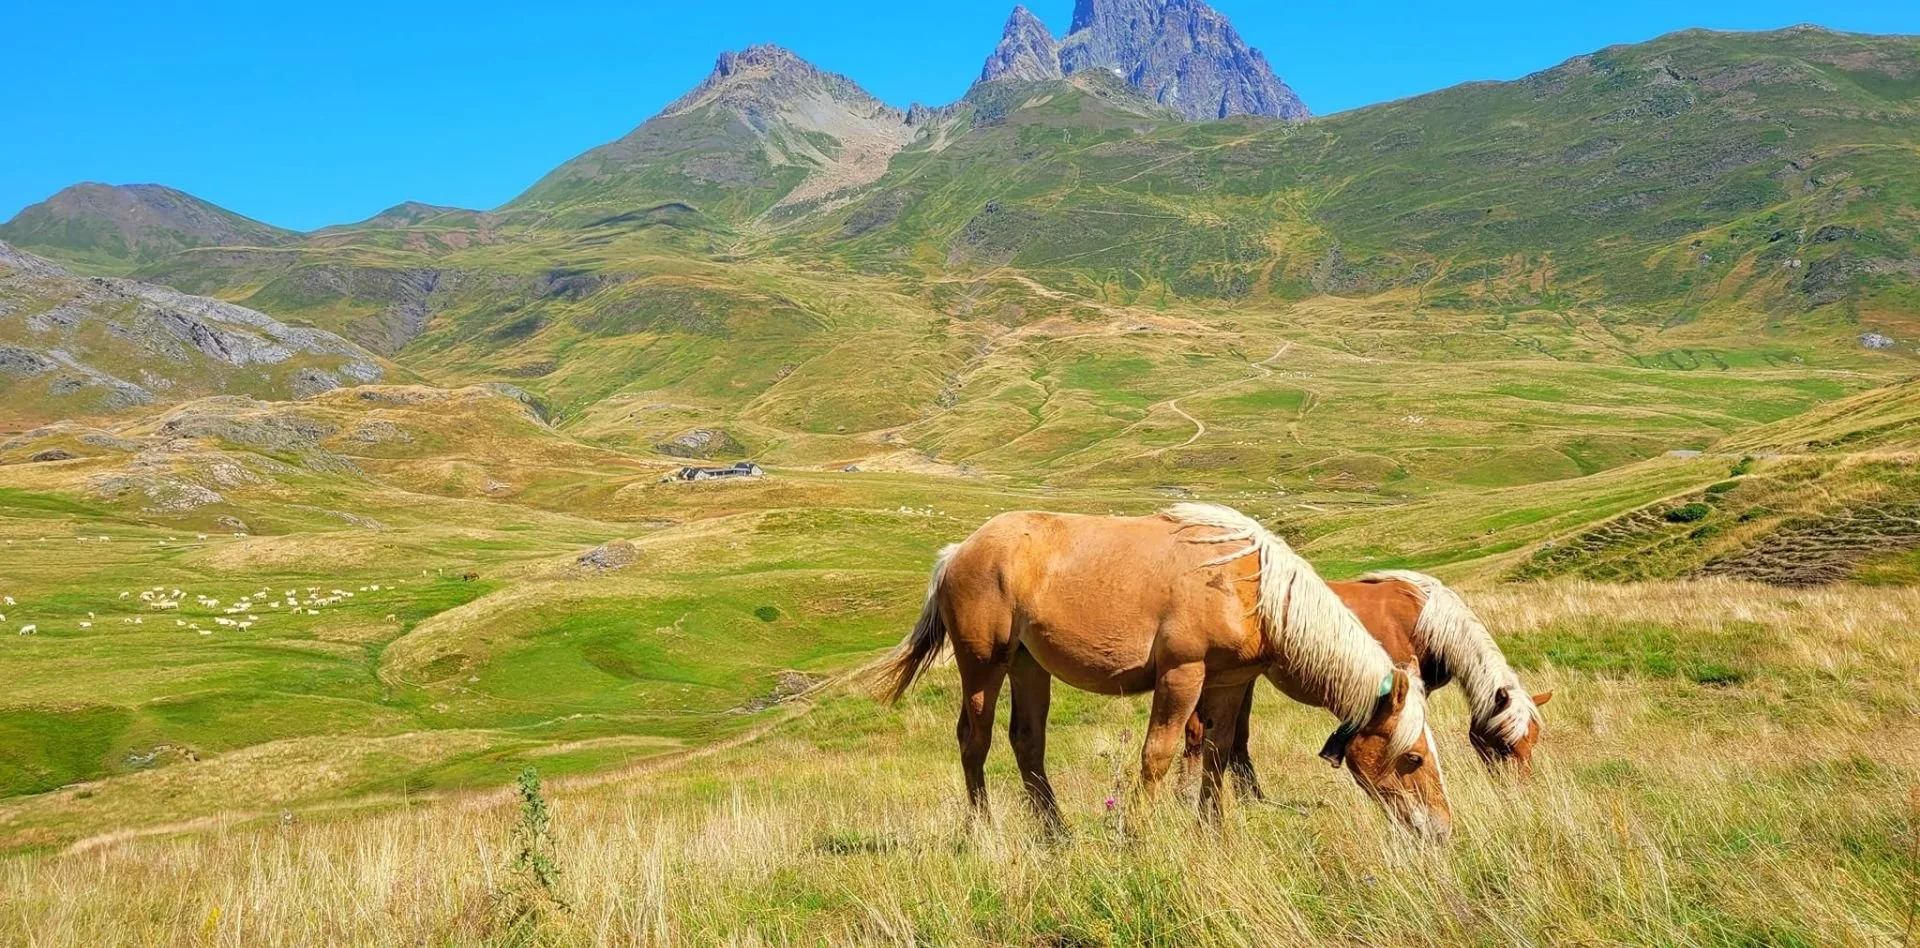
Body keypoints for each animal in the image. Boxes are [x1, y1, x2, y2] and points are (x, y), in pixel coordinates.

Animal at [878, 503, 1454, 839]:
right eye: (1414, 759)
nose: (1442, 830)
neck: (1252, 589)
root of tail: (959, 551)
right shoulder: (1182, 675)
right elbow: (1157, 754)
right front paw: (1139, 834)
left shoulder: (1228, 682)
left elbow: (1220, 754)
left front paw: (1211, 831)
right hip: (983, 665)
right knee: (974, 741)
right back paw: (982, 829)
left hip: (1027, 666)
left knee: (1027, 742)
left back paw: (1056, 832)